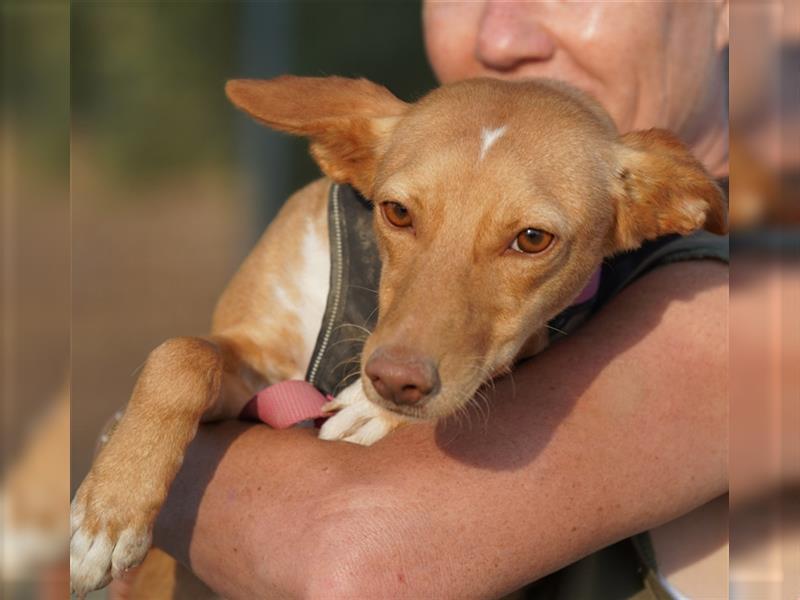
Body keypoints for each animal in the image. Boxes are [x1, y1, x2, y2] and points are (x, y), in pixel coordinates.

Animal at [72, 75, 728, 596]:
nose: (393, 382)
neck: (360, 300)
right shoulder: (252, 378)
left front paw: (371, 411)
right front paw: (109, 511)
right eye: (397, 212)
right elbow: (182, 354)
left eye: (532, 240)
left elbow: (501, 359)